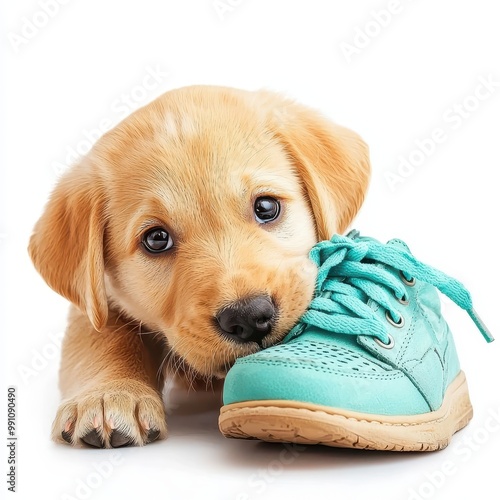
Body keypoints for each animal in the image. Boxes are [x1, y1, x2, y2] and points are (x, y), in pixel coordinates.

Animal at [28, 86, 372, 450]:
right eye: (156, 239)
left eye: (266, 207)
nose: (249, 316)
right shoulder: (99, 300)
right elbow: (102, 336)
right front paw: (108, 395)